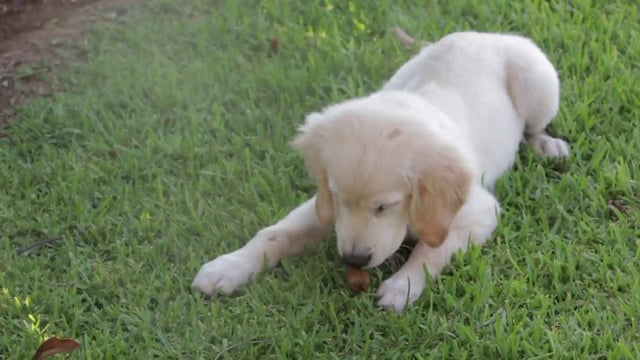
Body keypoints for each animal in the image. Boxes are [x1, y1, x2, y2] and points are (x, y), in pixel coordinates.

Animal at [191, 31, 568, 312]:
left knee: (534, 127)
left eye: (385, 206)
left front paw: (403, 285)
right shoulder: (323, 204)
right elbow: (274, 232)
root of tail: (484, 34)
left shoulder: (479, 213)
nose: (353, 258)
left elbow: (431, 250)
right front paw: (228, 266)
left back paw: (547, 146)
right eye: (340, 199)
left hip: (540, 84)